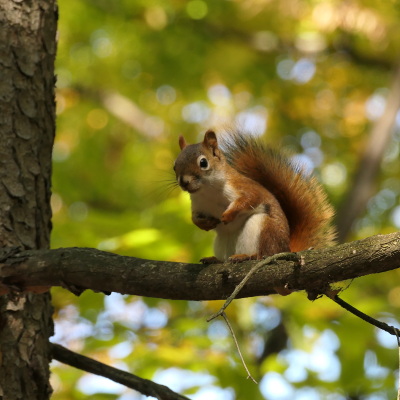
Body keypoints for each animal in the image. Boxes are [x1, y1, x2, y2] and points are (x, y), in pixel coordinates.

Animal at [173, 130, 336, 264]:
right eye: (174, 166)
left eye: (203, 162)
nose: (184, 182)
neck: (207, 191)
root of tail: (285, 249)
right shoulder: (198, 205)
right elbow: (194, 218)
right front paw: (204, 224)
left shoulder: (244, 188)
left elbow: (249, 199)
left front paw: (227, 215)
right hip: (222, 241)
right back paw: (215, 260)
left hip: (263, 229)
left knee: (263, 254)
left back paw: (246, 256)